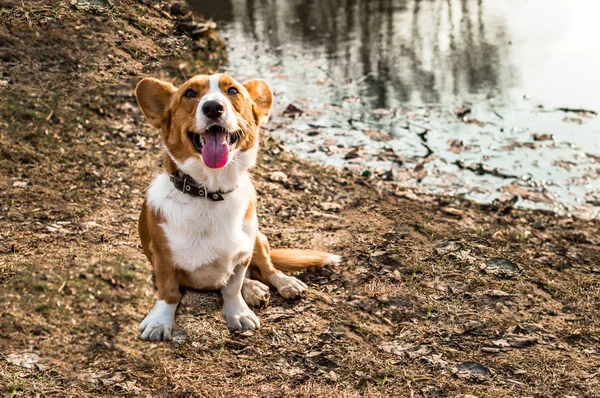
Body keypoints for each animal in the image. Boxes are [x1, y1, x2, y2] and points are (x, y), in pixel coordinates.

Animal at [135, 73, 340, 340]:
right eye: (190, 93)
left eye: (232, 91)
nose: (213, 107)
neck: (210, 193)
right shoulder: (163, 258)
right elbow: (169, 292)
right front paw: (159, 323)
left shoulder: (243, 252)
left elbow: (233, 287)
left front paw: (238, 313)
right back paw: (254, 289)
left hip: (259, 238)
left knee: (267, 268)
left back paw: (282, 283)